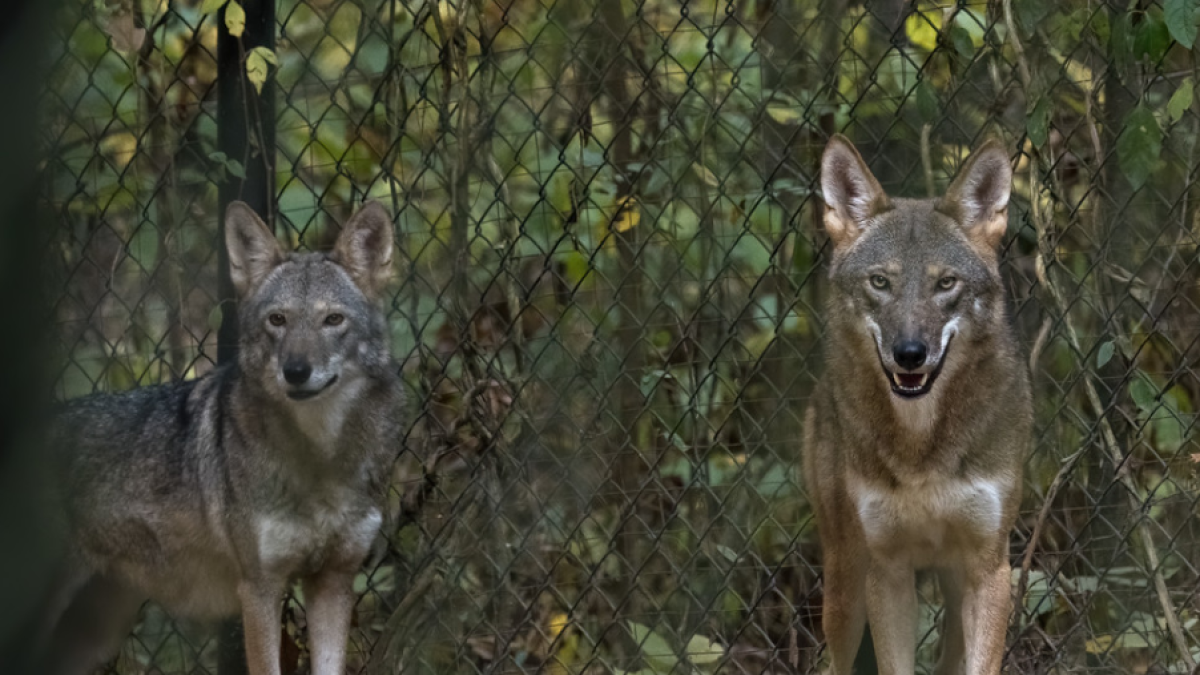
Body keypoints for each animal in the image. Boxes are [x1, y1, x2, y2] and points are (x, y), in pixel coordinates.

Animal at [39, 201, 405, 675]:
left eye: (333, 320)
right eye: (277, 320)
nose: (296, 371)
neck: (319, 459)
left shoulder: (333, 581)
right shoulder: (259, 588)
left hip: (92, 636)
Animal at [804, 135, 1031, 675]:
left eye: (945, 283)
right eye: (880, 282)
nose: (910, 353)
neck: (922, 445)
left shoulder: (989, 569)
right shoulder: (887, 570)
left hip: (952, 587)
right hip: (845, 590)